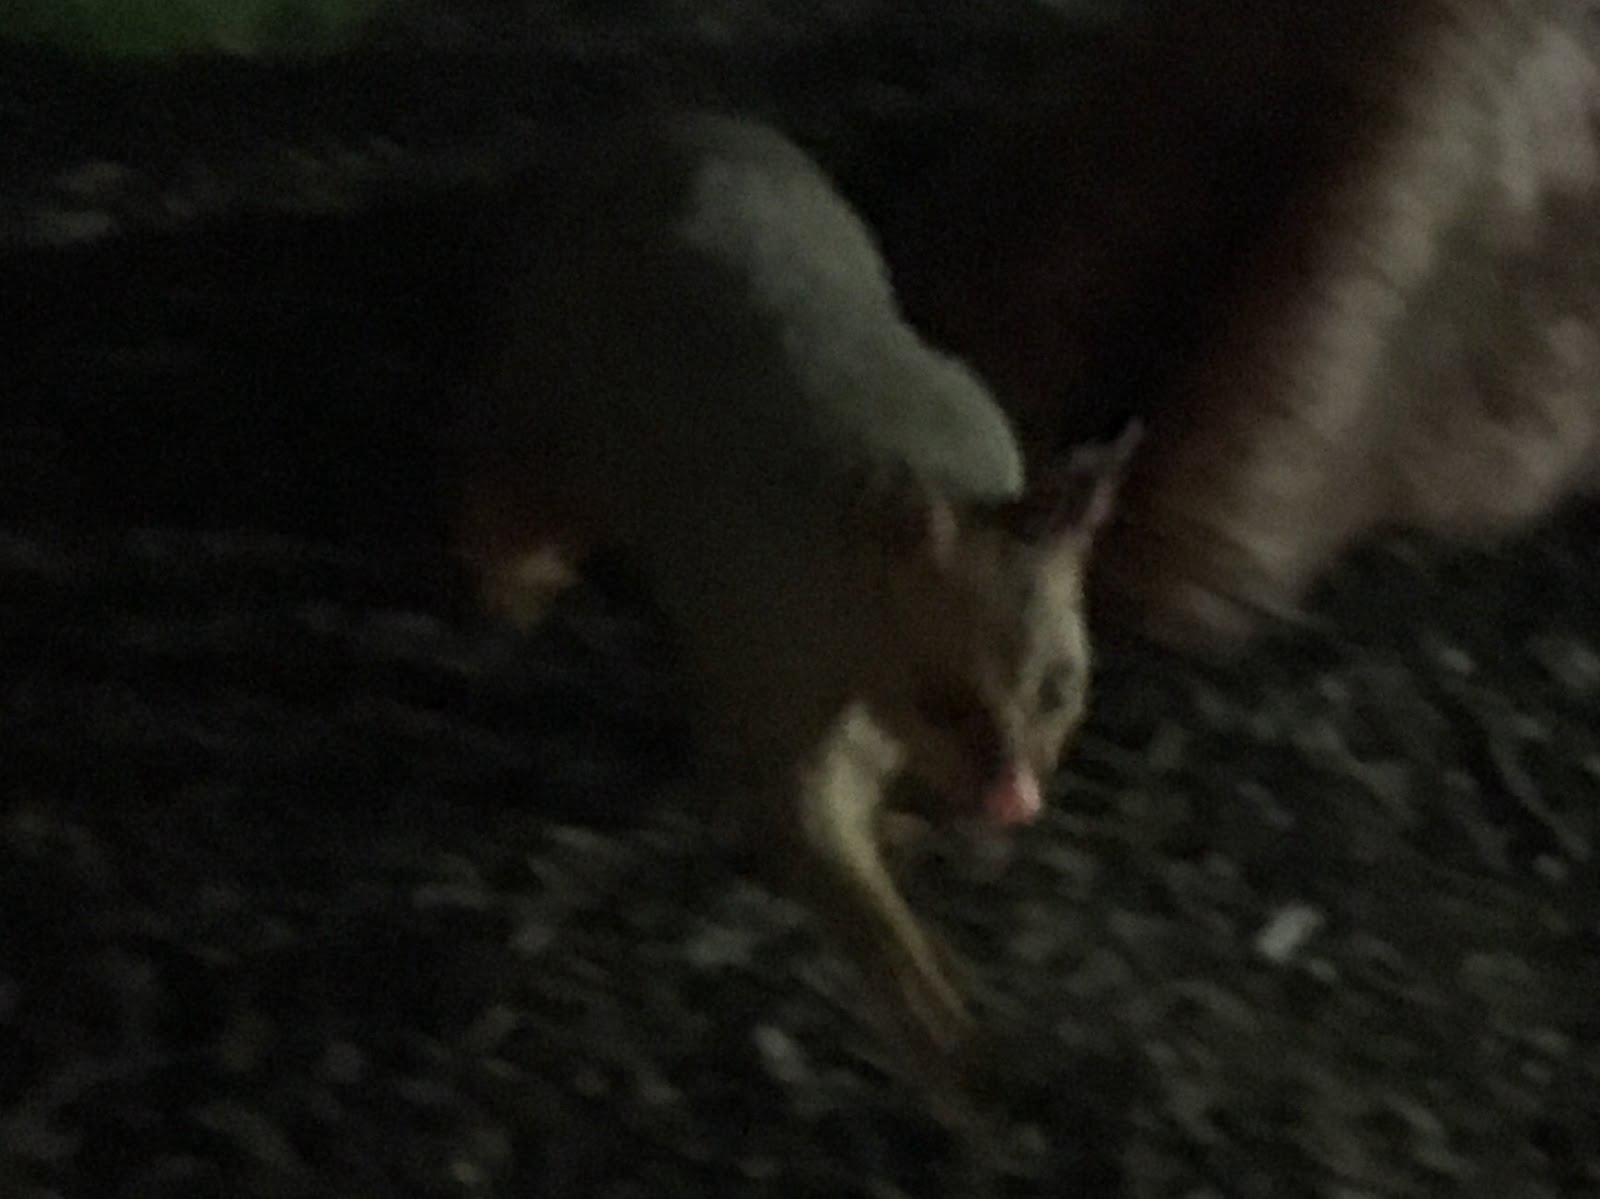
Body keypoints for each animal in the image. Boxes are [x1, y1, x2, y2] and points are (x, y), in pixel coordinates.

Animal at [449, 109, 1133, 1097]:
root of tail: (660, 124)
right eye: (939, 696)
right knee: (509, 480)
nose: (1014, 802)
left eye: (1059, 688)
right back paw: (511, 588)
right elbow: (811, 827)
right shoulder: (781, 654)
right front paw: (954, 1038)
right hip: (551, 392)